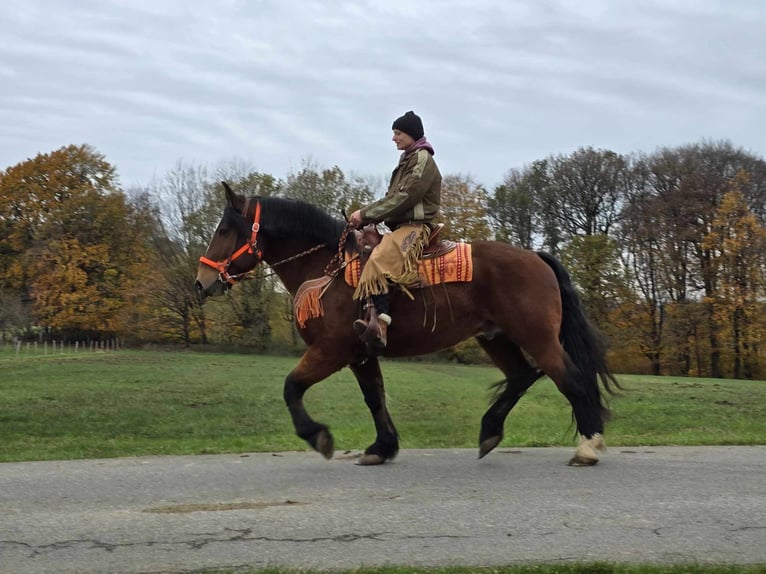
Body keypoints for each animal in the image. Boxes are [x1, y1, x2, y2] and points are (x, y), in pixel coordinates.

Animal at [195, 184, 620, 468]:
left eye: (223, 230)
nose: (202, 282)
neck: (328, 270)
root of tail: (536, 257)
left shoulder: (331, 350)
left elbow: (291, 387)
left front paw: (319, 436)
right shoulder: (361, 355)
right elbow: (375, 398)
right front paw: (382, 447)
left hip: (538, 337)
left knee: (570, 378)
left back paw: (588, 447)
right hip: (495, 338)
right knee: (522, 375)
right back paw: (490, 433)